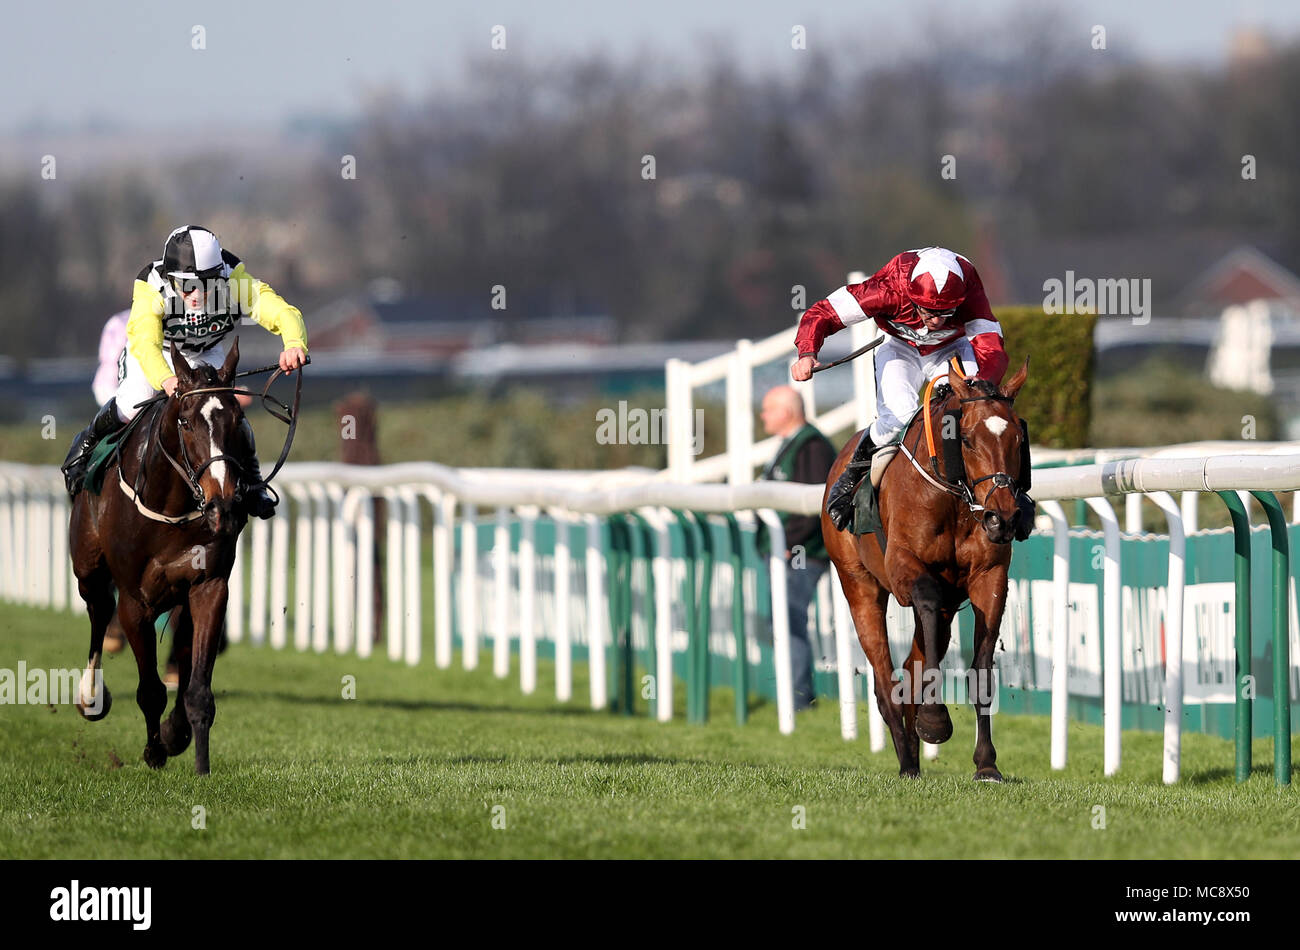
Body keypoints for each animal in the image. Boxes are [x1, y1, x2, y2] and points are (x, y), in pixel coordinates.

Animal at [71, 343, 250, 774]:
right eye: (185, 422)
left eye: (238, 421)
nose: (223, 507)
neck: (172, 505)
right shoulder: (136, 602)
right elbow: (149, 690)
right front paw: (154, 751)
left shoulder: (208, 586)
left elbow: (198, 687)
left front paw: (193, 757)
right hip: (87, 567)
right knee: (99, 610)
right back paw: (90, 696)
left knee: (181, 654)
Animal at [826, 356, 1029, 779]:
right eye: (965, 439)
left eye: (1019, 439)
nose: (1002, 519)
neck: (952, 496)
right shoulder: (907, 569)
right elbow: (925, 608)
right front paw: (935, 723)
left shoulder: (989, 578)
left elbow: (981, 669)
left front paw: (987, 764)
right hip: (859, 586)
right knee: (885, 680)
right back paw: (907, 761)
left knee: (911, 663)